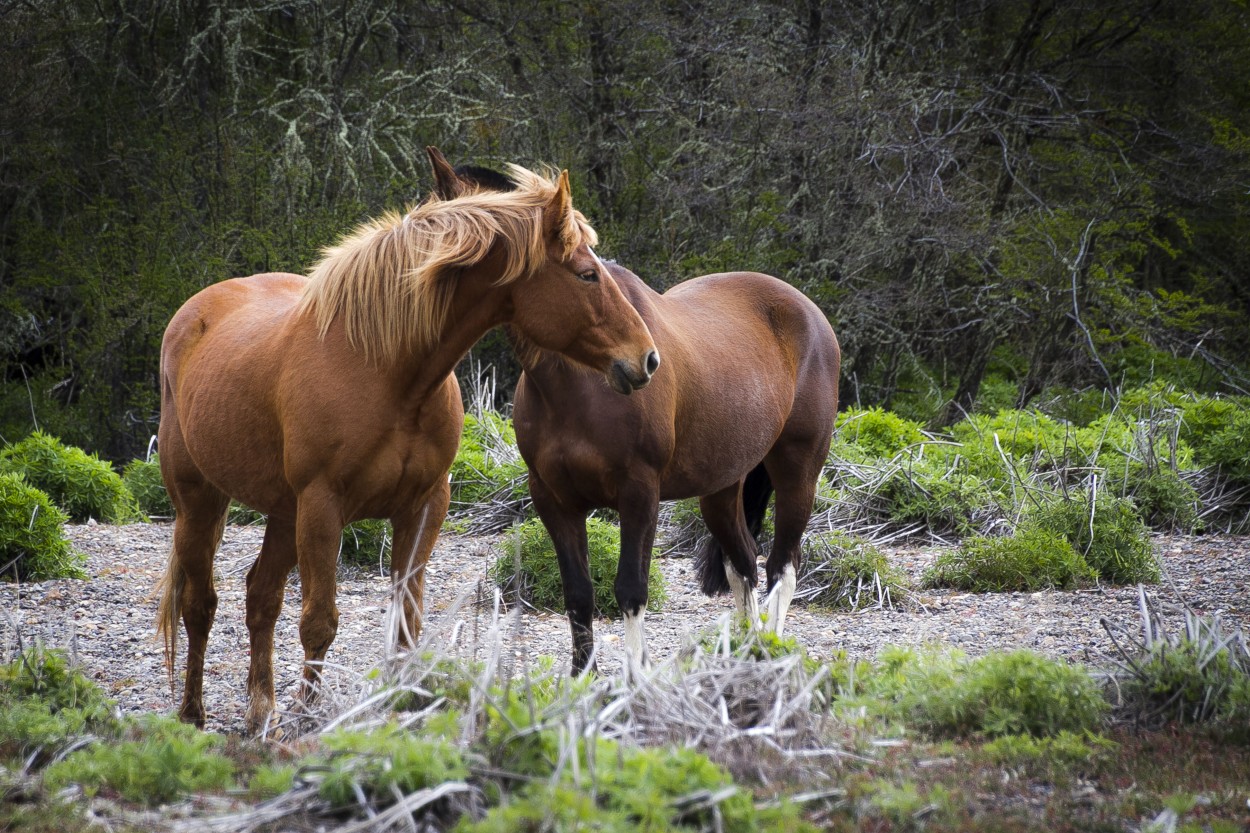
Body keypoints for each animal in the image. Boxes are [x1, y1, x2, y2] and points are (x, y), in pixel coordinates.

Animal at [157, 152, 660, 730]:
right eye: (586, 274)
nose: (646, 358)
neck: (388, 371)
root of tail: (194, 313)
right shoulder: (323, 507)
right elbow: (319, 620)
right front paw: (310, 714)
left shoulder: (423, 505)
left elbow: (406, 621)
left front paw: (403, 702)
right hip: (200, 503)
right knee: (199, 606)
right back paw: (193, 713)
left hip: (283, 512)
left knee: (261, 596)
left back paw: (261, 710)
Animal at [427, 158, 840, 670]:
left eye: (590, 273)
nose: (645, 362)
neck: (581, 386)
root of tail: (807, 313)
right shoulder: (553, 500)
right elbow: (578, 593)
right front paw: (582, 677)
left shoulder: (639, 494)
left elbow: (629, 590)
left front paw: (636, 675)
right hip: (722, 487)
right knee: (742, 563)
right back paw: (746, 652)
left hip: (797, 471)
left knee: (782, 567)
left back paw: (771, 650)